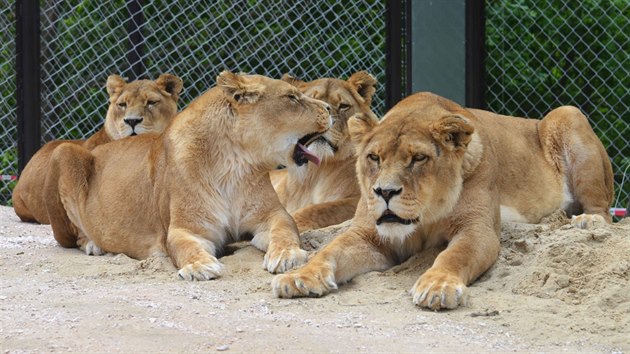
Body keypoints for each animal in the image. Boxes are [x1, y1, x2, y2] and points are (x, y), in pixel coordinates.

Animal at [43, 72, 334, 280]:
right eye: (292, 98)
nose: (330, 108)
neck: (235, 164)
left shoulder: (272, 215)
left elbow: (286, 229)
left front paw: (287, 254)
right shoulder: (185, 228)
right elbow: (185, 247)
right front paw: (199, 266)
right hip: (65, 152)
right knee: (72, 234)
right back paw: (93, 244)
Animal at [274, 91, 616, 310]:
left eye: (418, 158)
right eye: (374, 157)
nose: (385, 192)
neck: (426, 216)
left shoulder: (478, 230)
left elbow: (454, 256)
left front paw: (437, 286)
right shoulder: (367, 233)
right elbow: (330, 251)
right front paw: (300, 277)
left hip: (567, 115)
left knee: (604, 211)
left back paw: (588, 221)